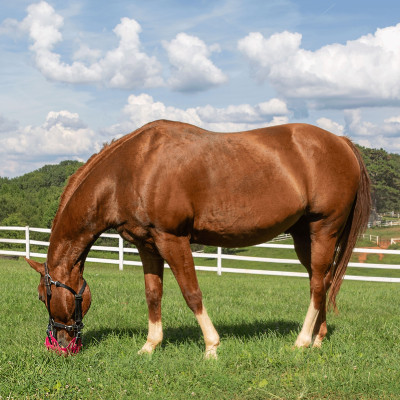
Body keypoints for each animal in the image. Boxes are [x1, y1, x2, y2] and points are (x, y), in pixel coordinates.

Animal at [25, 120, 372, 358]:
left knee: (317, 285)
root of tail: (341, 142)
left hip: (323, 229)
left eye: (43, 296)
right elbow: (153, 294)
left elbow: (191, 293)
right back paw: (318, 338)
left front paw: (211, 347)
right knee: (322, 279)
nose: (59, 345)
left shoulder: (172, 239)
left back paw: (301, 342)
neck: (133, 168)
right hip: (304, 237)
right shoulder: (147, 245)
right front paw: (149, 347)